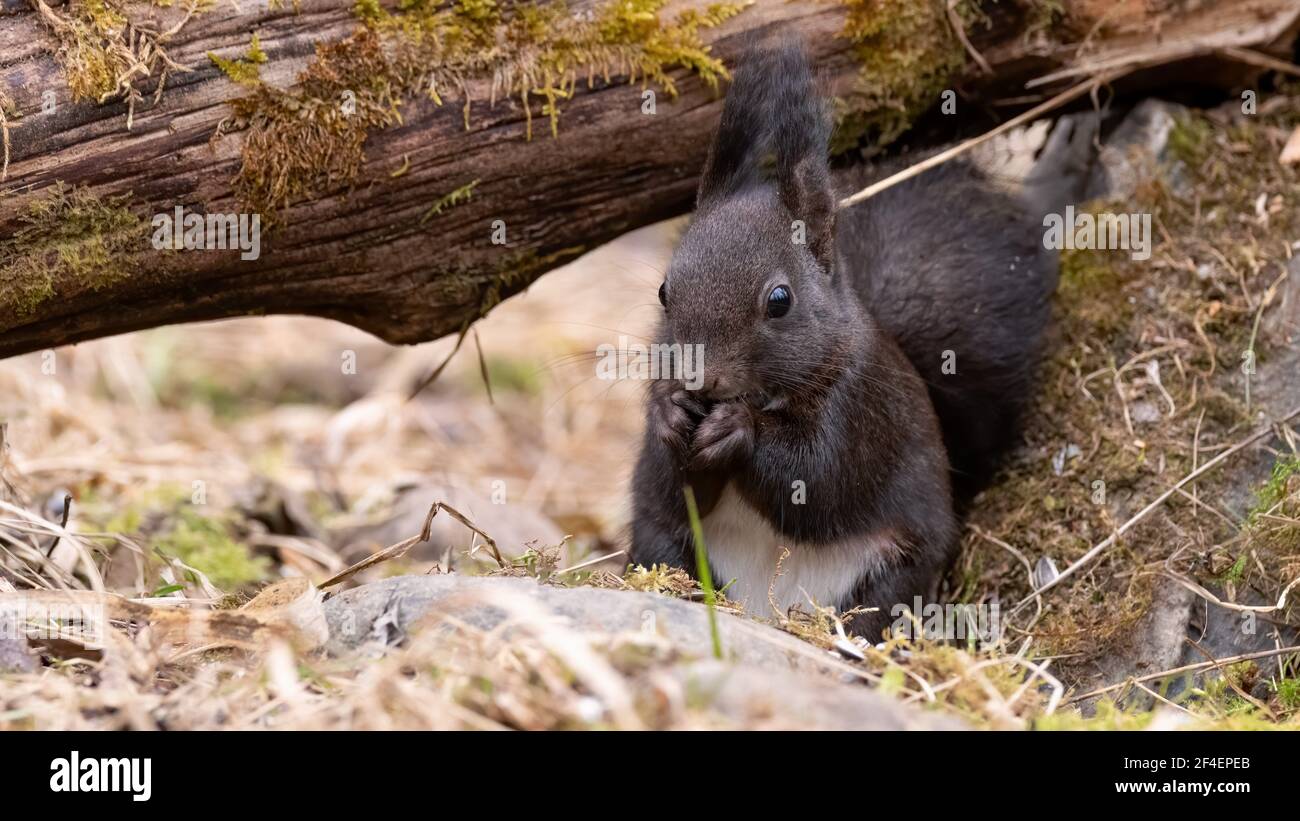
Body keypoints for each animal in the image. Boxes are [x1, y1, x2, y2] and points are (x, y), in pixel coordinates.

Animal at [624, 41, 1081, 639]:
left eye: (780, 300)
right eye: (662, 291)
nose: (699, 381)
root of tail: (770, 609)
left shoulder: (861, 410)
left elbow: (817, 482)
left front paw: (738, 430)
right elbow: (679, 487)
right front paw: (670, 417)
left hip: (897, 568)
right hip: (664, 545)